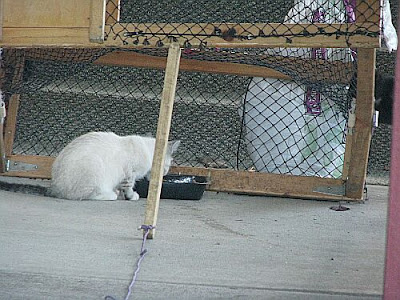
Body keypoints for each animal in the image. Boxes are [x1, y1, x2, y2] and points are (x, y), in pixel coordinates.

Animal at [49, 132, 180, 200]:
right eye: (168, 166)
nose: (165, 173)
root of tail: (54, 189)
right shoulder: (130, 174)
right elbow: (129, 187)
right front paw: (131, 196)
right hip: (96, 166)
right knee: (87, 195)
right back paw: (112, 195)